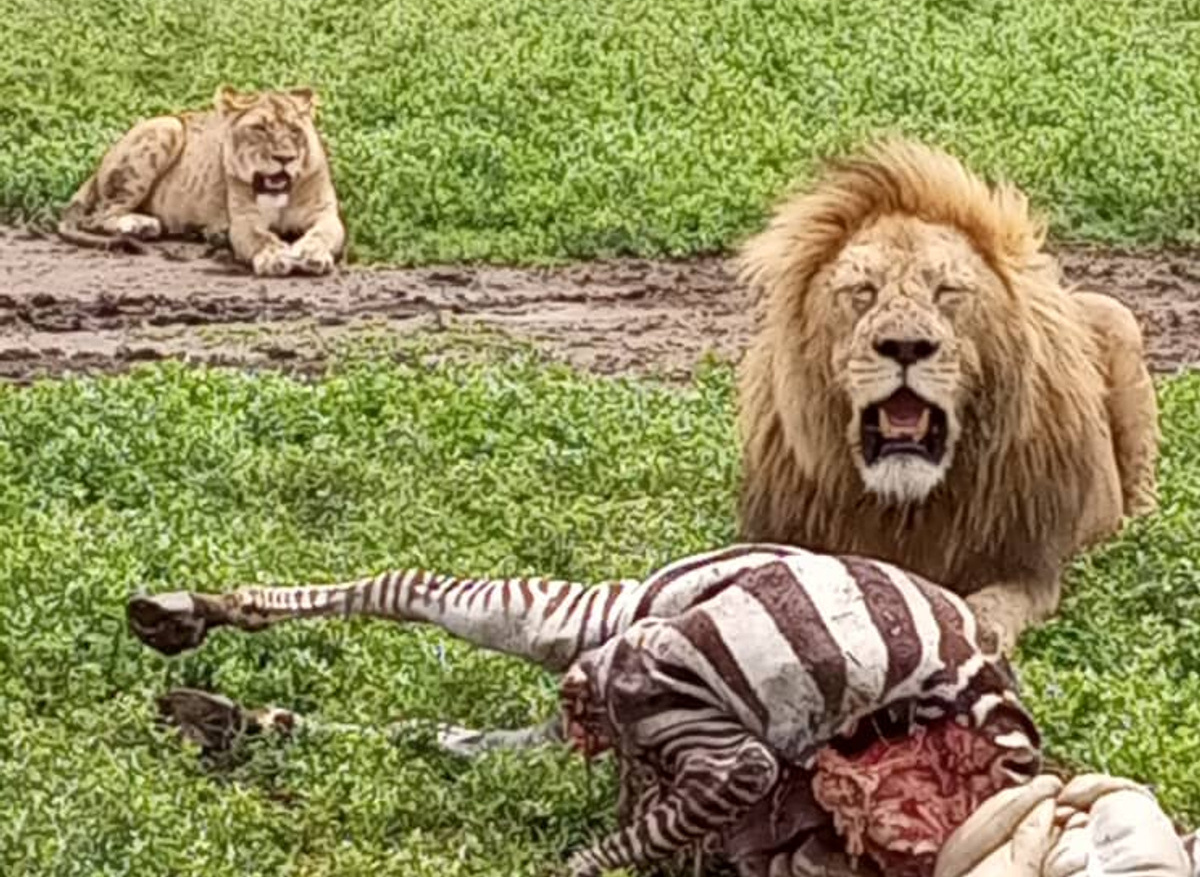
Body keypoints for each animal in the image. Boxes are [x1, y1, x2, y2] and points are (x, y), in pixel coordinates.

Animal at [57, 84, 345, 276]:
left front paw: (312, 254)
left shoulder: (325, 213)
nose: (285, 158)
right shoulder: (244, 220)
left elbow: (323, 233)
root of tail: (96, 169)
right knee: (99, 216)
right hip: (167, 126)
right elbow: (260, 237)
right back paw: (141, 225)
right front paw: (274, 256)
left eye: (295, 131)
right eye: (260, 129)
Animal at [735, 137, 1160, 655]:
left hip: (1120, 321)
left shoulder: (1031, 566)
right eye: (863, 291)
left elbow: (993, 607)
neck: (910, 506)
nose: (905, 346)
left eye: (947, 291)